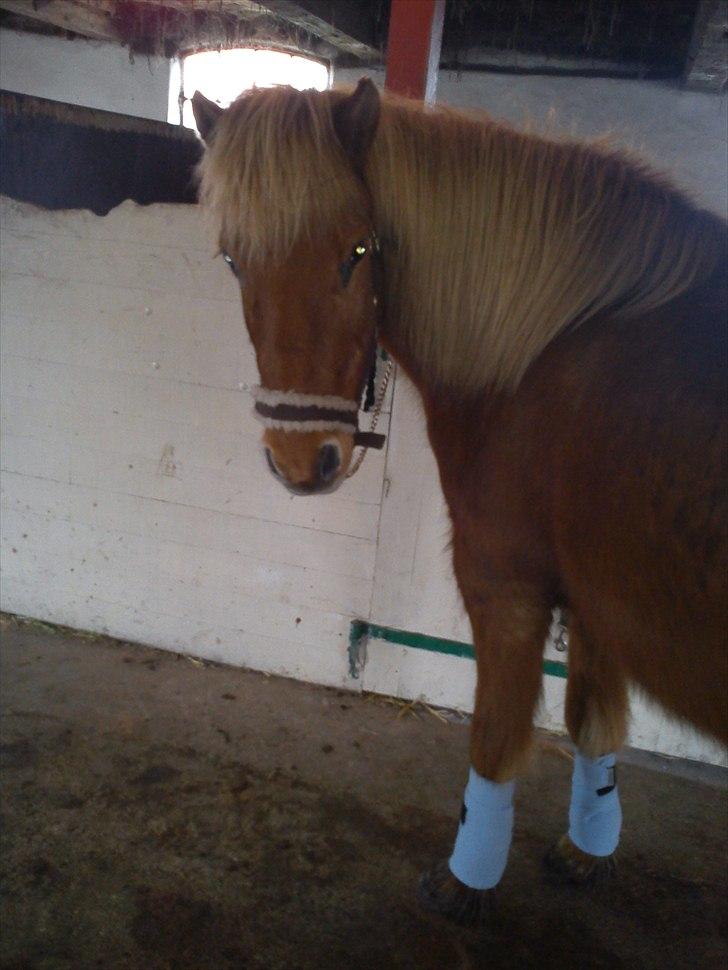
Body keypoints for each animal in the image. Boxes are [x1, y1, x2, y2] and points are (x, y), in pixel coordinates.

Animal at [191, 79, 724, 920]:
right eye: (234, 260)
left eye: (358, 252)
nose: (302, 462)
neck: (549, 349)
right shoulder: (599, 597)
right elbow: (594, 724)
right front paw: (589, 845)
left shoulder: (505, 587)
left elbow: (497, 740)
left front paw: (467, 875)